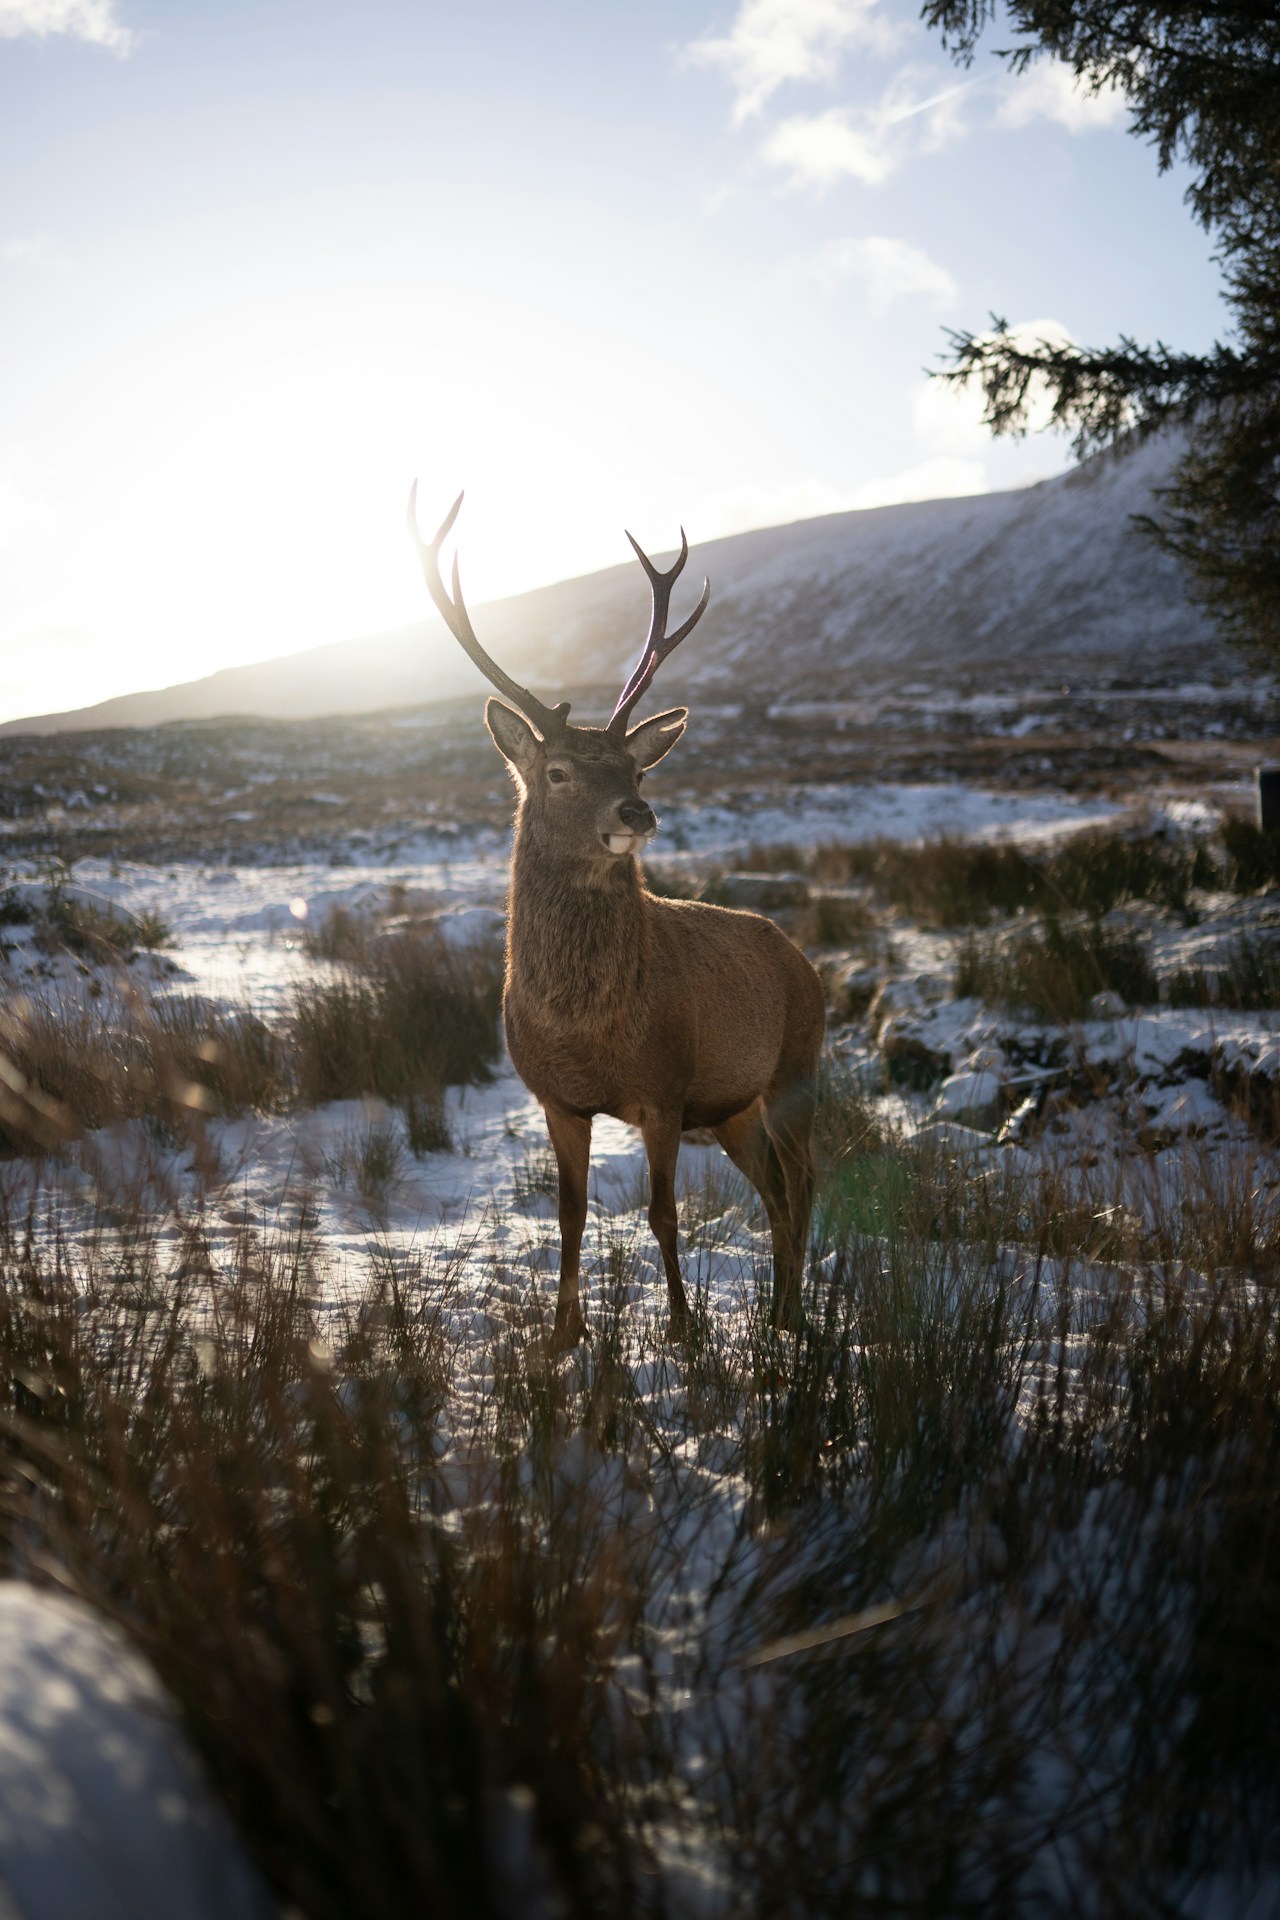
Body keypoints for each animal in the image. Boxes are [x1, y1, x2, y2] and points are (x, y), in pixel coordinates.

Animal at [408, 488, 826, 1351]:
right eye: (559, 771)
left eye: (636, 767)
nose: (638, 811)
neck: (585, 1024)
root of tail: (805, 960)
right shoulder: (556, 1099)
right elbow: (568, 1216)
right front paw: (562, 1335)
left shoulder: (663, 1090)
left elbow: (664, 1214)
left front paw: (685, 1332)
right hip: (734, 1106)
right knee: (774, 1190)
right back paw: (777, 1313)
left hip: (797, 1066)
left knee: (804, 1182)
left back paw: (793, 1317)